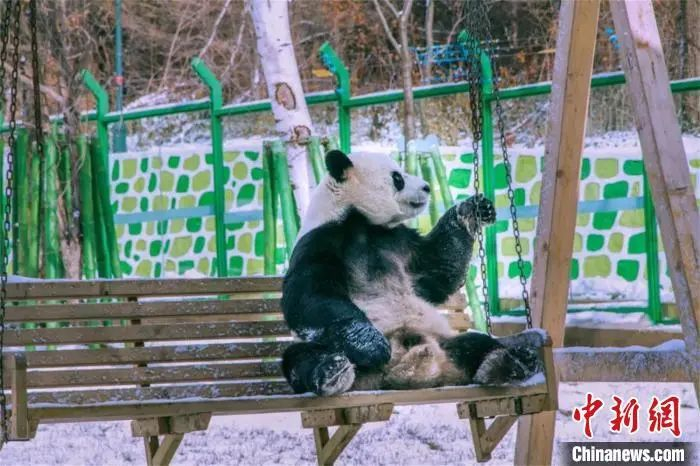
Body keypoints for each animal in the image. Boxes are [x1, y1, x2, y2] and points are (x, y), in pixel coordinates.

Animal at [280, 149, 544, 396]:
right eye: (397, 178)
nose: (426, 187)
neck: (359, 219)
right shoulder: (321, 240)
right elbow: (310, 296)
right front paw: (372, 345)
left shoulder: (399, 241)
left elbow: (438, 266)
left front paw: (472, 209)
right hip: (330, 348)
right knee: (300, 357)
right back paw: (332, 372)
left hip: (443, 340)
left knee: (477, 342)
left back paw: (509, 362)